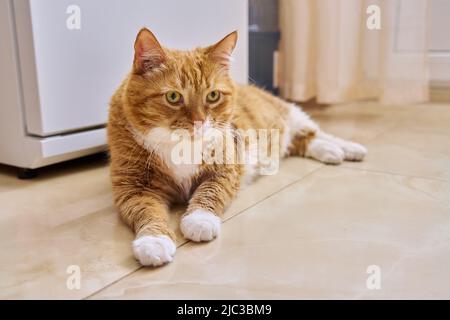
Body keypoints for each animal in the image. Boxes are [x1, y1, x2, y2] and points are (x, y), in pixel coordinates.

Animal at [108, 28, 366, 266]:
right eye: (173, 97)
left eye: (213, 95)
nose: (200, 121)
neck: (180, 145)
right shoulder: (134, 188)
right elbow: (147, 211)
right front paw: (153, 241)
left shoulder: (226, 168)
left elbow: (210, 191)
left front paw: (199, 220)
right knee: (303, 141)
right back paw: (331, 152)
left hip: (289, 114)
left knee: (315, 132)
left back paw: (349, 149)